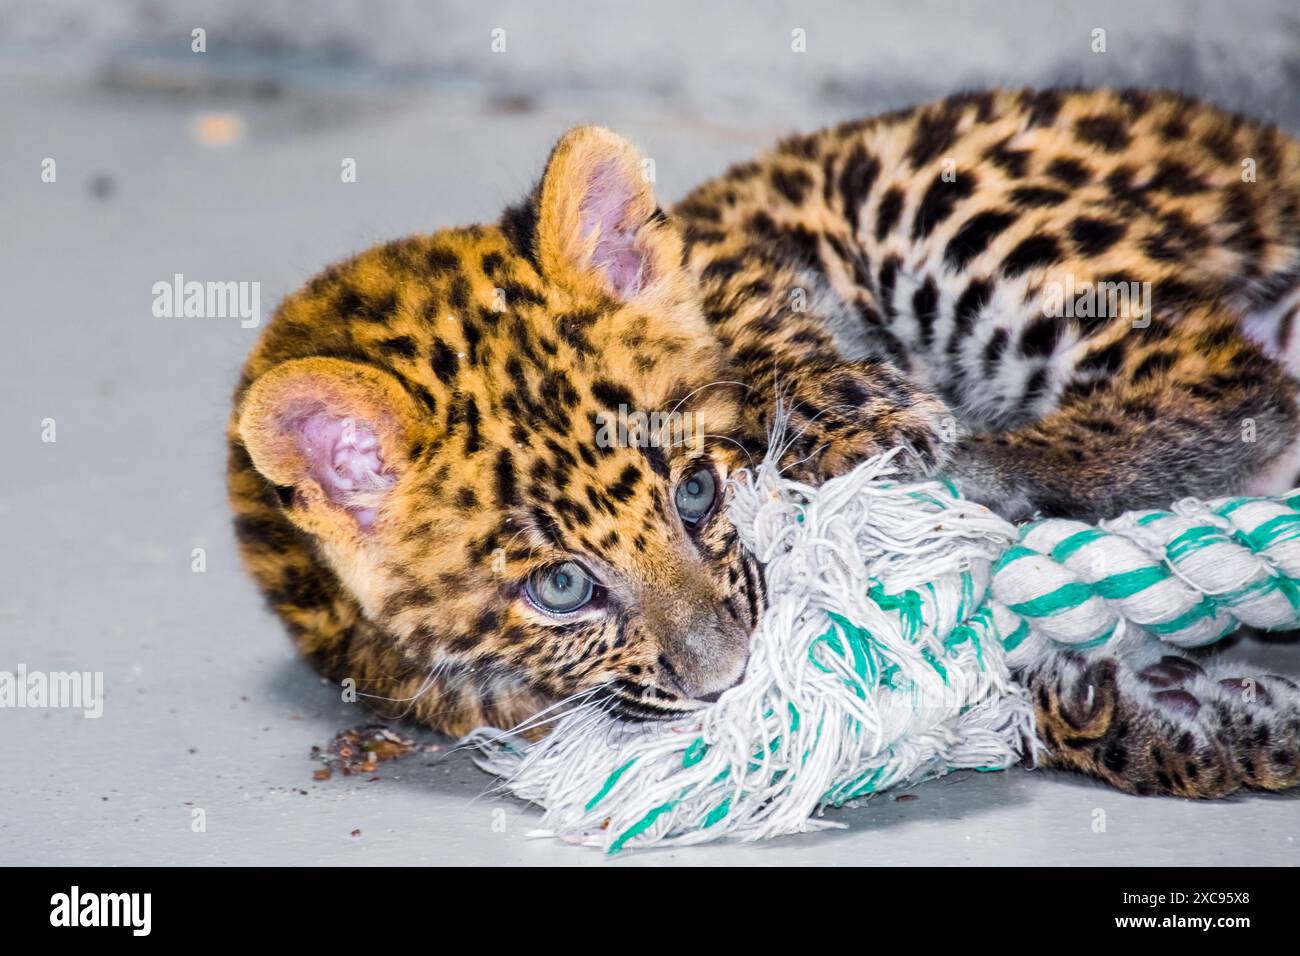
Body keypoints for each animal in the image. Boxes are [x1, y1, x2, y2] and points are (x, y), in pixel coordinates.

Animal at [229, 87, 1300, 798]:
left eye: (697, 495)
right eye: (562, 588)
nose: (731, 678)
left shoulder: (738, 242)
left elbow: (755, 336)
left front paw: (867, 431)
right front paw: (1217, 727)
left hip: (931, 199)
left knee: (1235, 383)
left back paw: (993, 470)